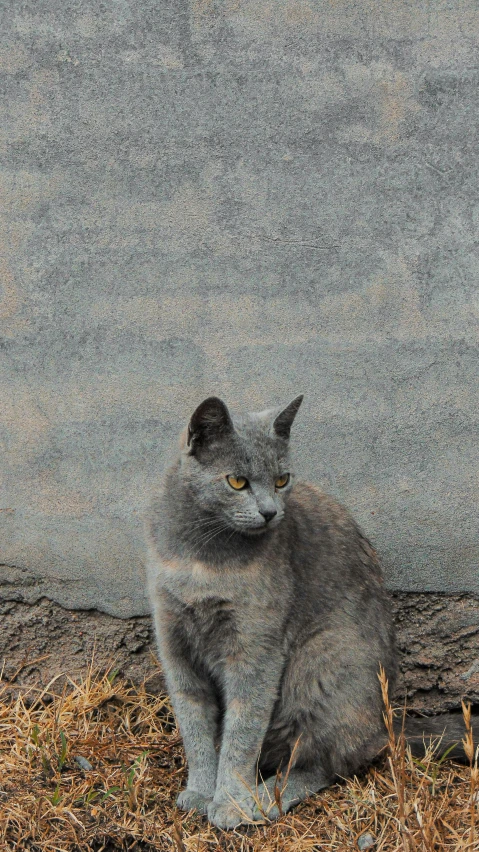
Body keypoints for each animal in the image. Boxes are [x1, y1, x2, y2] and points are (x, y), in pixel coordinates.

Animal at [148, 400, 470, 832]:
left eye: (282, 479)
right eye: (237, 482)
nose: (270, 512)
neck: (204, 556)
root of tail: (386, 722)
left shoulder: (256, 649)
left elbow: (242, 731)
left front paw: (229, 802)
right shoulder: (174, 642)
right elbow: (194, 724)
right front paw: (200, 791)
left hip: (320, 659)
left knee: (330, 762)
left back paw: (262, 800)